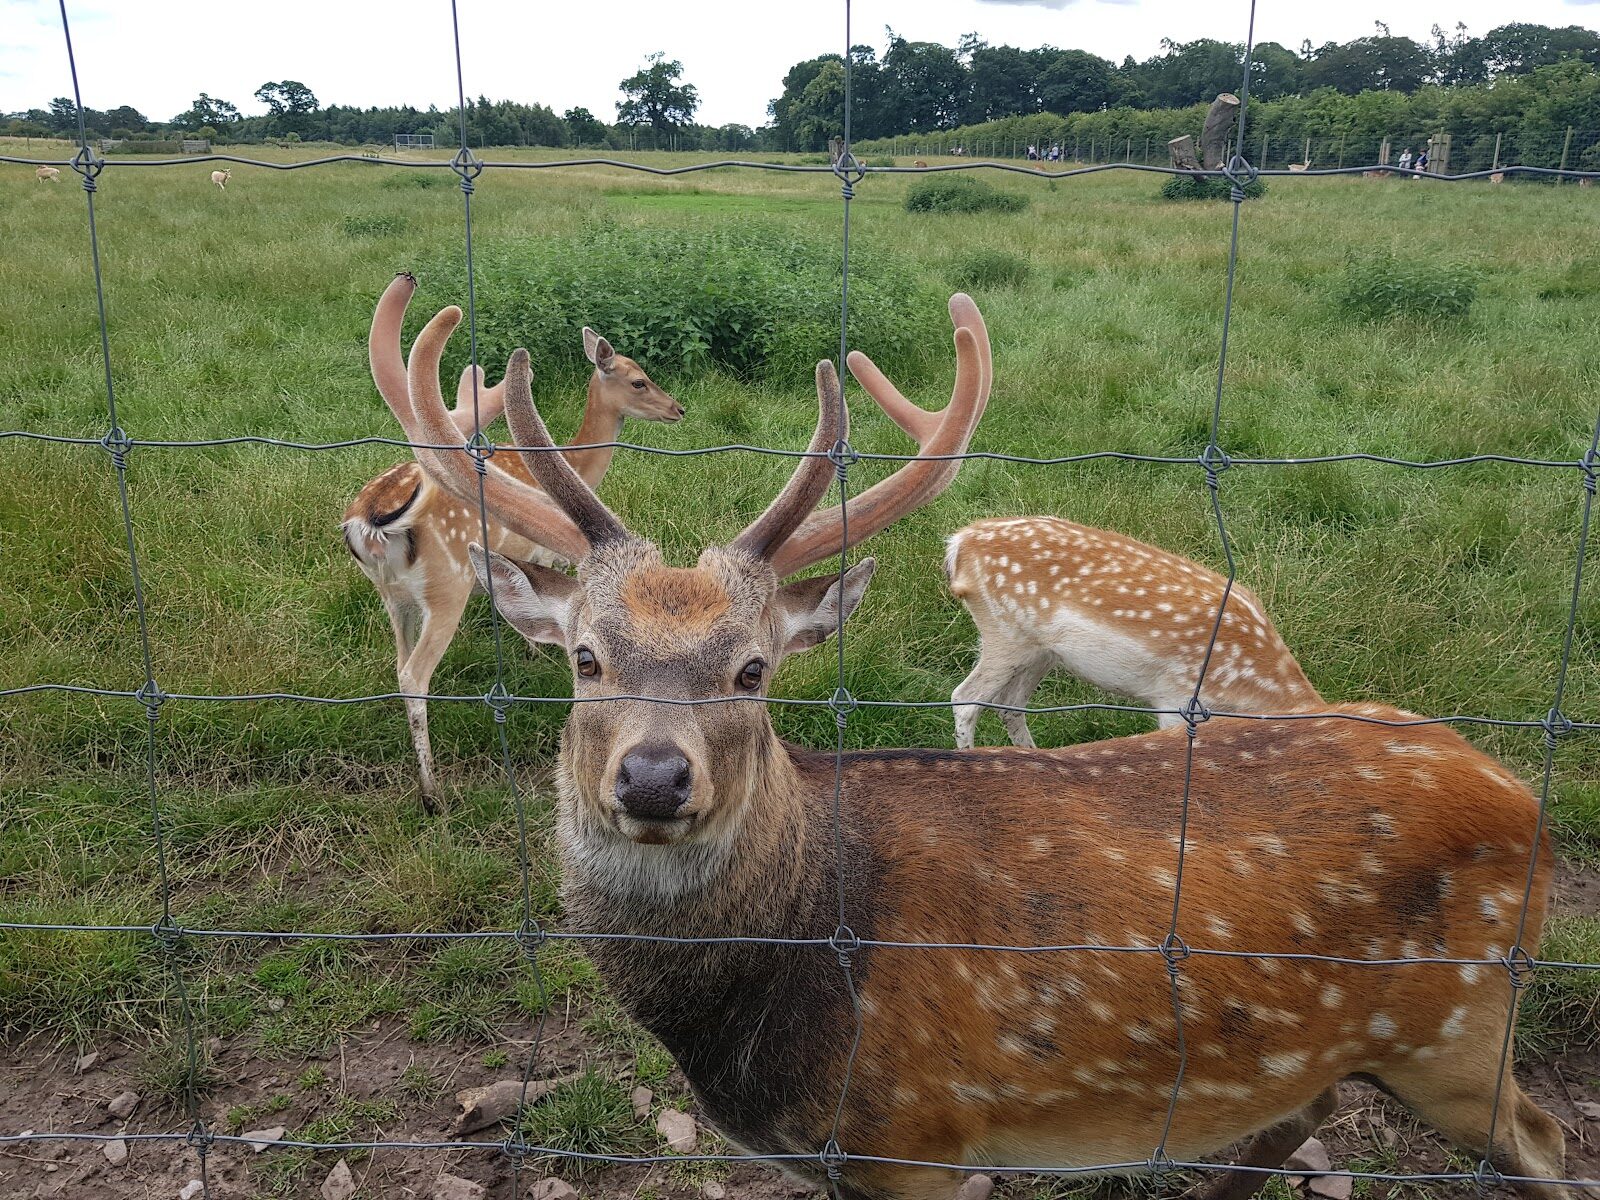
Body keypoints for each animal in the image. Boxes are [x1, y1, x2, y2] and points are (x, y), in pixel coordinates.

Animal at [346, 277, 683, 810]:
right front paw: (538, 653)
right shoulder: (535, 551)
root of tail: (368, 521)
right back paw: (432, 793)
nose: (678, 409)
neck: (577, 463)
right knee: (413, 676)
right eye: (638, 381)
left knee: (396, 663)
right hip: (446, 587)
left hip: (390, 594)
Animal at [945, 517, 1323, 748]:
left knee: (1010, 704)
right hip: (1004, 633)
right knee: (965, 699)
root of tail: (959, 543)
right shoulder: (1176, 700)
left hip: (1040, 650)